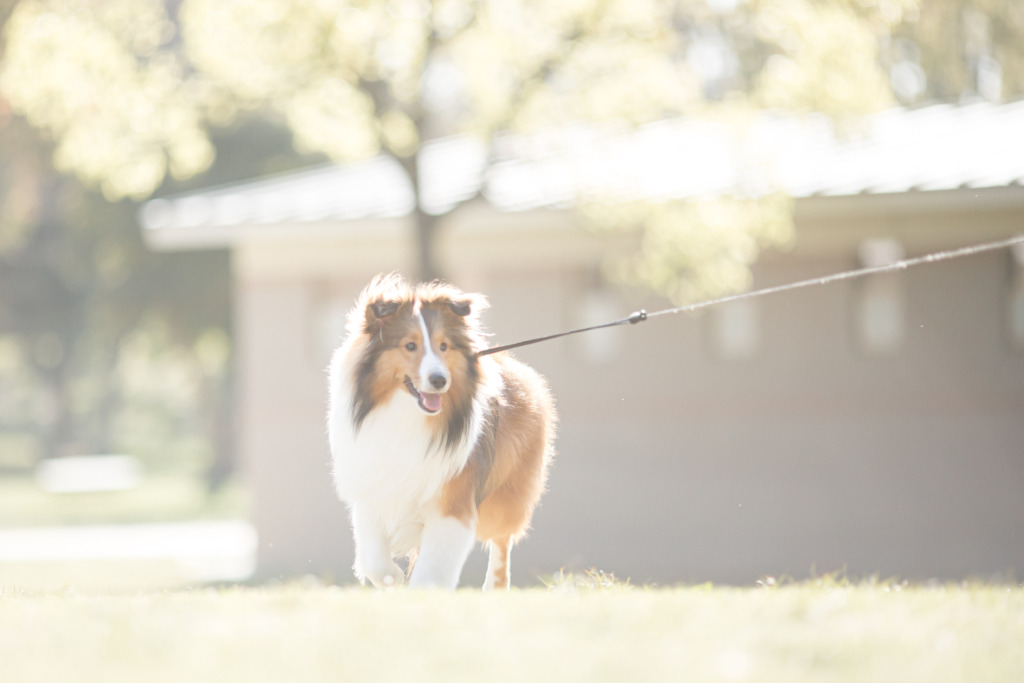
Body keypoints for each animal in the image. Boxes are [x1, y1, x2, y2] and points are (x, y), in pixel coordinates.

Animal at [327, 274, 557, 589]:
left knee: (501, 539)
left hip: (506, 496)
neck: (408, 415)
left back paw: (495, 586)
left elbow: (432, 570)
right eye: (410, 345)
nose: (439, 380)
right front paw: (392, 579)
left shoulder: (452, 501)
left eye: (444, 346)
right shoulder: (374, 486)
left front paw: (424, 593)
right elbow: (375, 559)